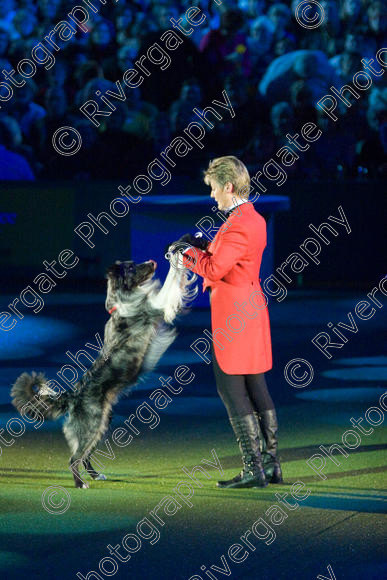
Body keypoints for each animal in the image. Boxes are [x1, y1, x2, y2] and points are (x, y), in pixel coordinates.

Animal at [10, 260, 199, 490]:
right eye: (131, 268)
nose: (153, 262)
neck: (121, 299)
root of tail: (72, 396)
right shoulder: (155, 307)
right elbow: (170, 282)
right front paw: (178, 259)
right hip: (91, 427)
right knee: (74, 459)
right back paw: (80, 483)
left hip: (101, 425)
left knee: (84, 457)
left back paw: (94, 475)